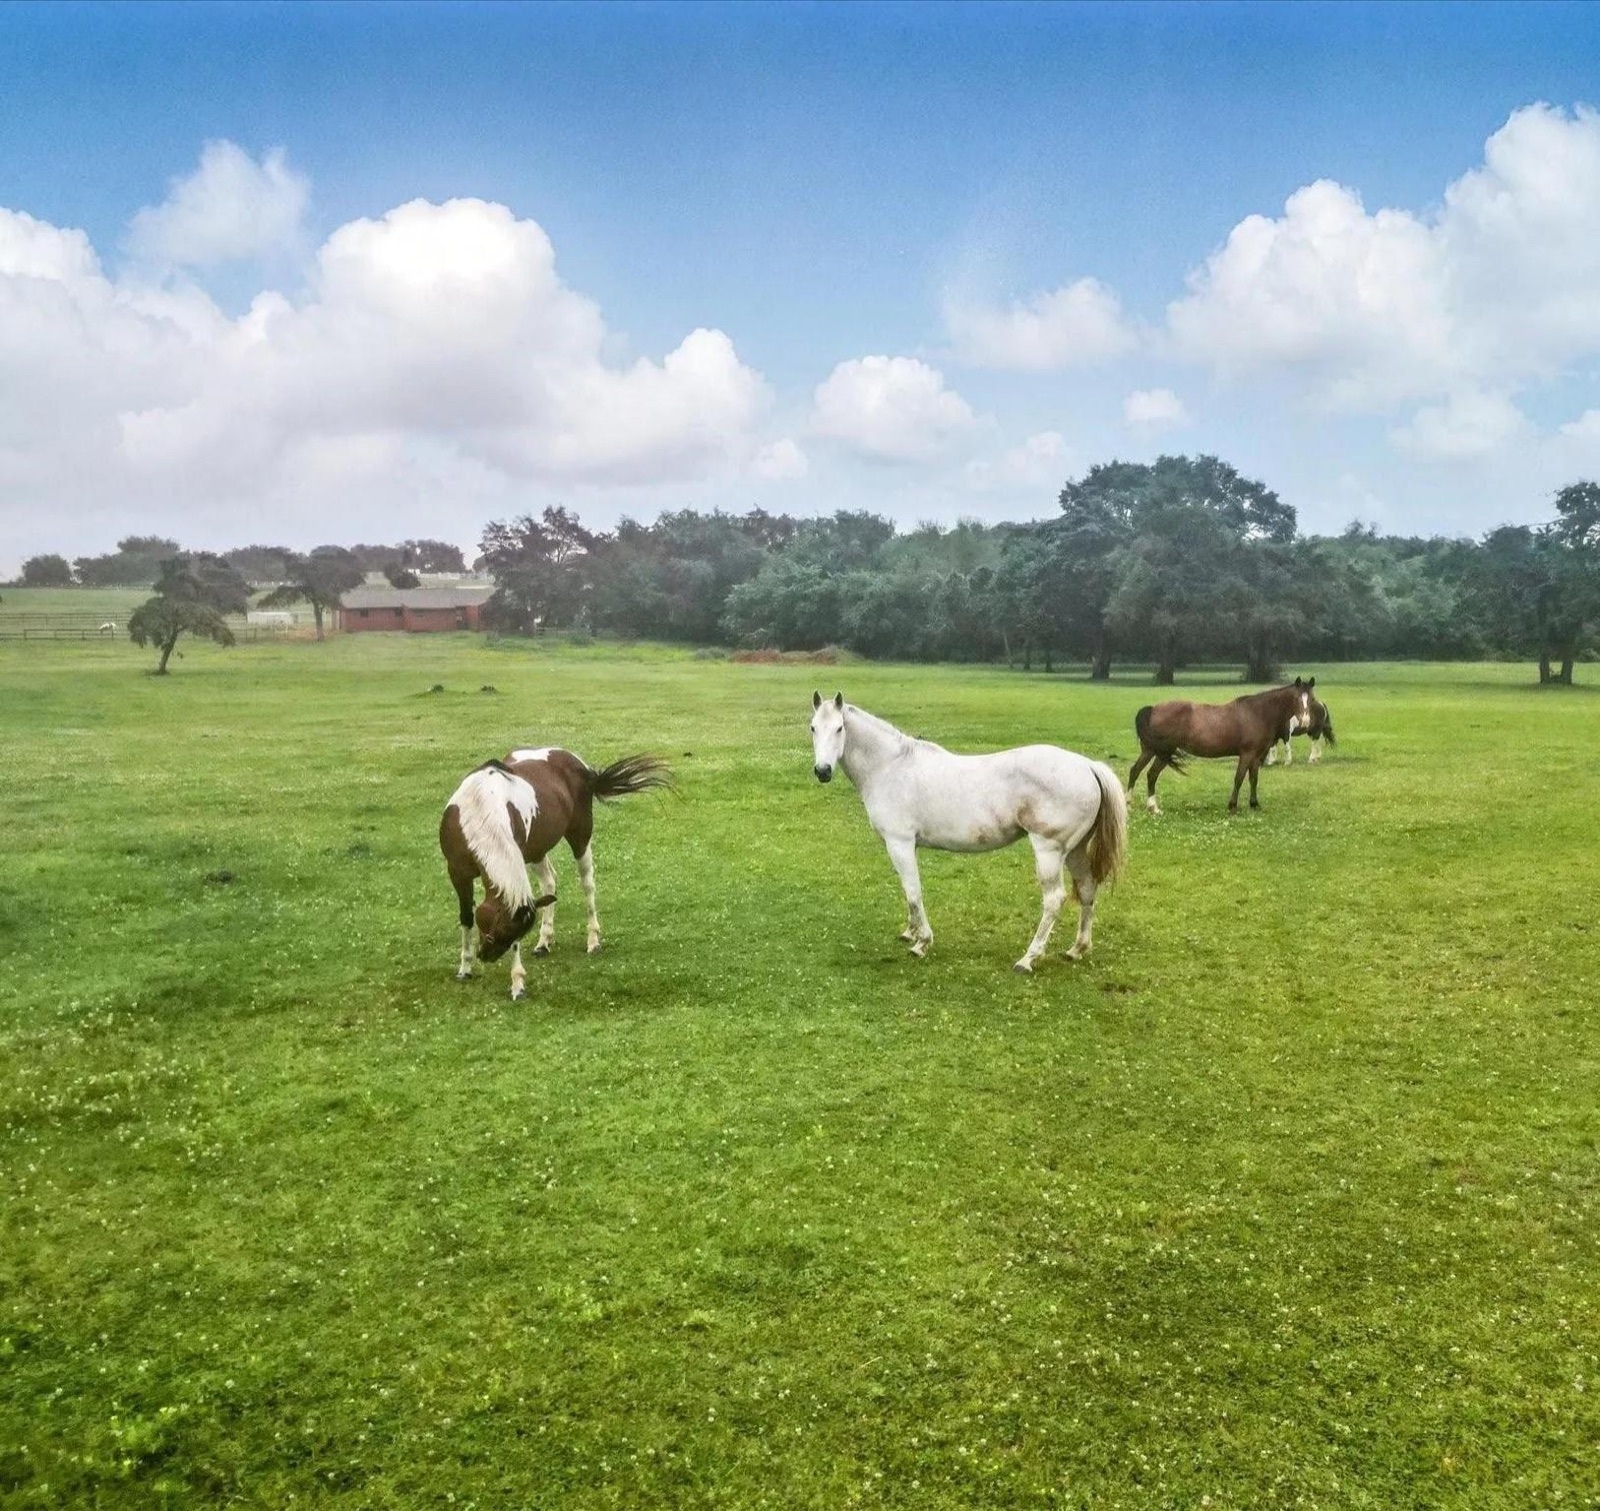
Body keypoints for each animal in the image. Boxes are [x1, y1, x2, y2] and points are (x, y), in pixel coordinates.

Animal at [439, 747, 673, 999]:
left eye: (511, 934)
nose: (487, 956)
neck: (480, 808)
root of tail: (581, 766)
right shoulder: (457, 873)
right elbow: (466, 918)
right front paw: (465, 969)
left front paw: (517, 983)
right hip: (537, 851)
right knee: (549, 882)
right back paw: (544, 943)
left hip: (580, 837)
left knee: (587, 884)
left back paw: (593, 940)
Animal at [808, 692, 1128, 973]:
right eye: (812, 727)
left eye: (839, 728)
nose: (822, 771)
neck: (891, 766)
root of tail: (1087, 766)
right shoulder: (906, 846)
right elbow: (909, 891)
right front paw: (911, 932)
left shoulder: (899, 844)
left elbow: (913, 891)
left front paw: (922, 943)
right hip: (1074, 850)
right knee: (1087, 888)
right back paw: (1077, 949)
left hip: (1049, 850)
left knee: (1053, 900)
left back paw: (1028, 959)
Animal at [1126, 677, 1318, 815]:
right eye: (1296, 698)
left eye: (1312, 699)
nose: (1305, 721)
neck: (1259, 712)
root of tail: (1153, 709)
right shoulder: (1247, 754)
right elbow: (1239, 778)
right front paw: (1232, 805)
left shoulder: (1256, 757)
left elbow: (1253, 779)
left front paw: (1254, 804)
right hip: (1163, 752)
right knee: (1150, 774)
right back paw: (1151, 807)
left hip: (1151, 750)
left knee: (1138, 771)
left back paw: (1136, 805)